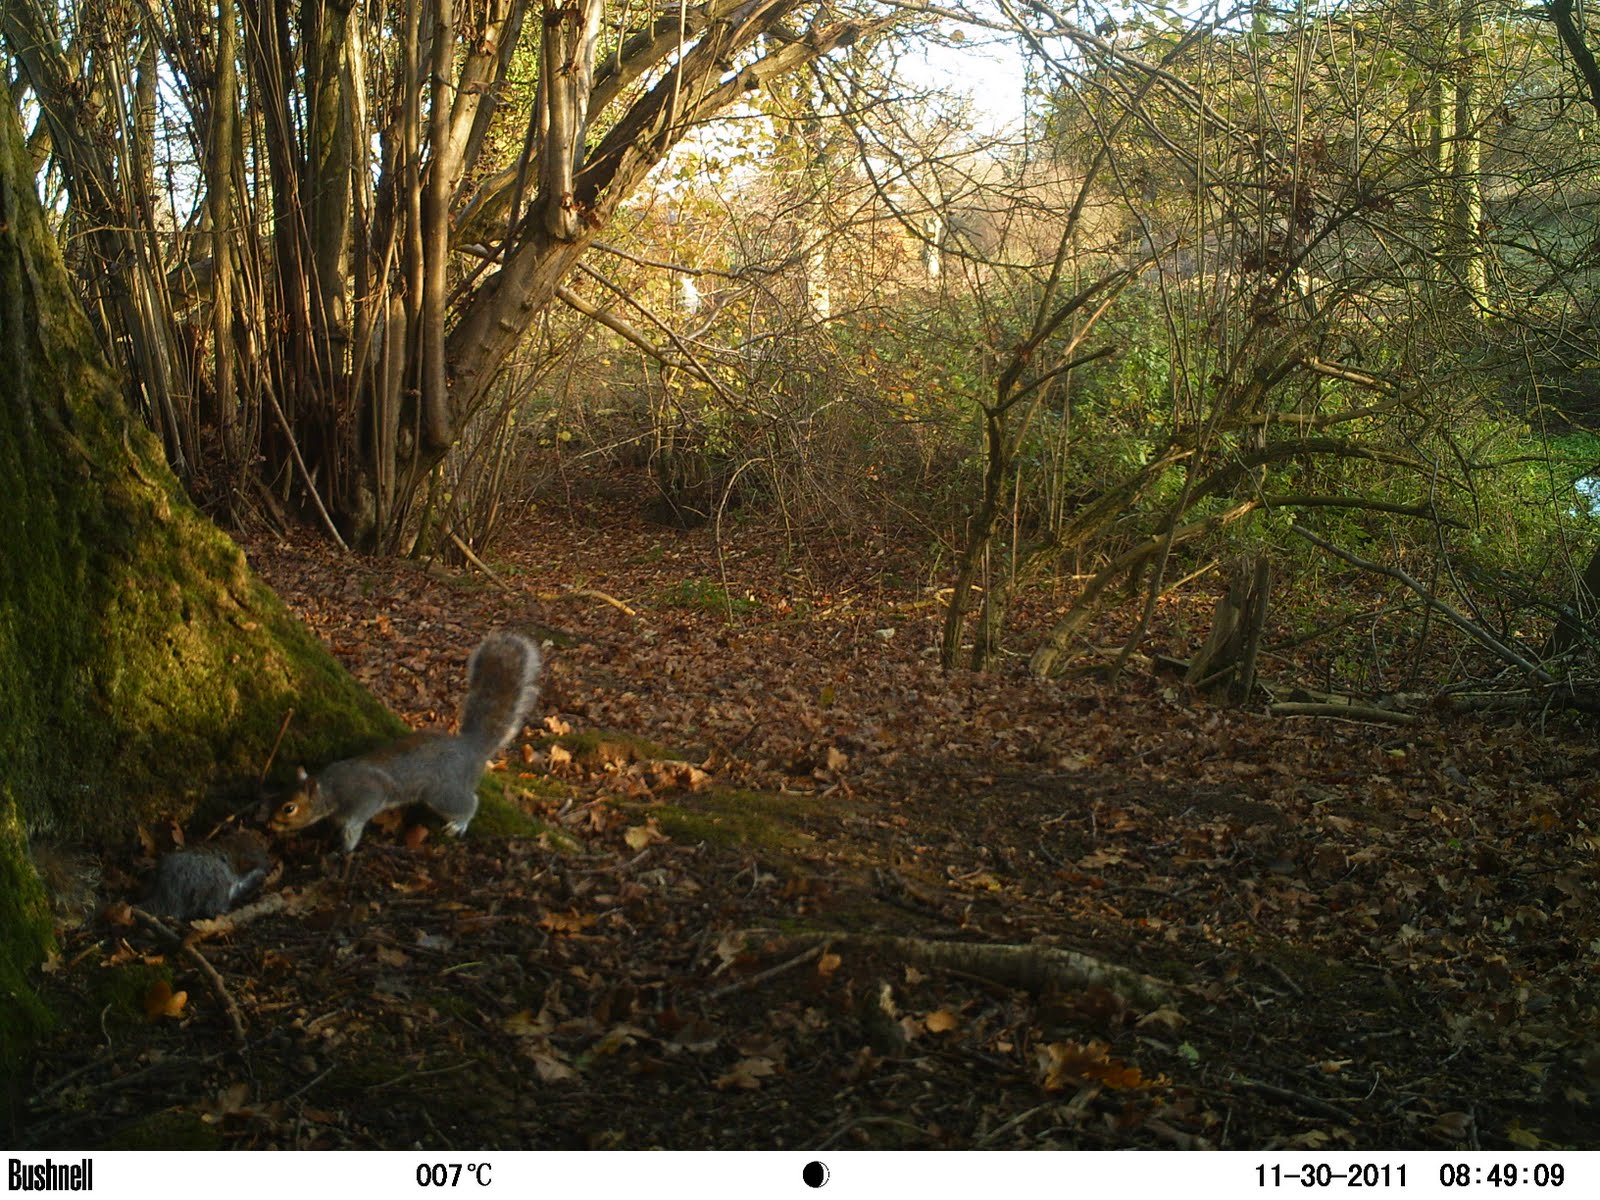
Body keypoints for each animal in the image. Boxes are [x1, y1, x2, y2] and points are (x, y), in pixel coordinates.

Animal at [269, 631, 544, 852]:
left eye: (289, 808)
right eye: (277, 796)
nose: (269, 825)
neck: (331, 786)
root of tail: (471, 748)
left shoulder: (366, 795)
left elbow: (355, 822)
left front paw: (346, 845)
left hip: (443, 791)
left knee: (469, 802)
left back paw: (459, 822)